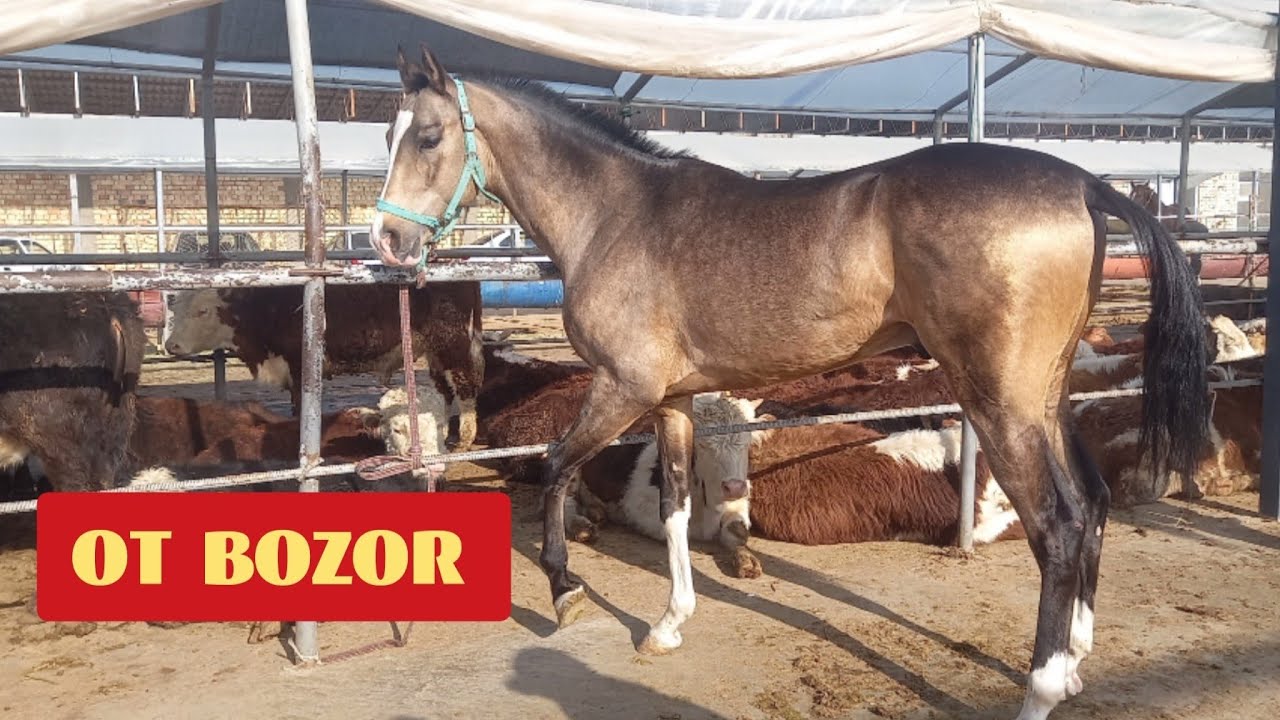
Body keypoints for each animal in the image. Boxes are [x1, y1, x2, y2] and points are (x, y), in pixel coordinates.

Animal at [370, 46, 1210, 720]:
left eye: (429, 135)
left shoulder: (619, 389)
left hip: (1000, 402)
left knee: (1059, 526)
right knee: (1092, 503)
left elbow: (553, 469)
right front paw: (669, 624)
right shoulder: (672, 401)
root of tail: (1081, 183)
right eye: (387, 134)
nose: (387, 240)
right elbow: (676, 507)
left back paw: (1041, 688)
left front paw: (565, 592)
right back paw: (1075, 662)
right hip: (1046, 395)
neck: (617, 217)